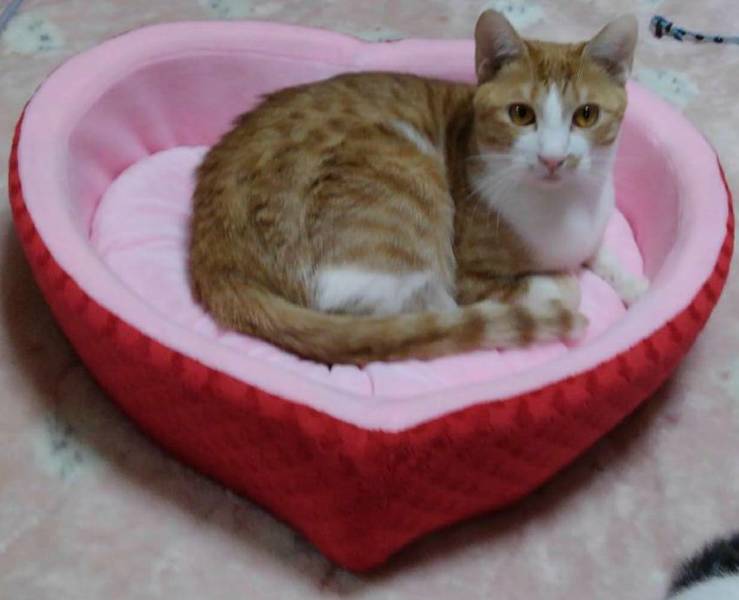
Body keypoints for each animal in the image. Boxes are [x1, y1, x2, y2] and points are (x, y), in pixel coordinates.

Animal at [189, 10, 646, 365]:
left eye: (586, 115)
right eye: (521, 114)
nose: (553, 159)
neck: (565, 208)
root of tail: (215, 260)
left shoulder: (591, 229)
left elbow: (600, 252)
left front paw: (635, 286)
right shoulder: (469, 276)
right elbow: (563, 285)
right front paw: (562, 282)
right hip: (399, 175)